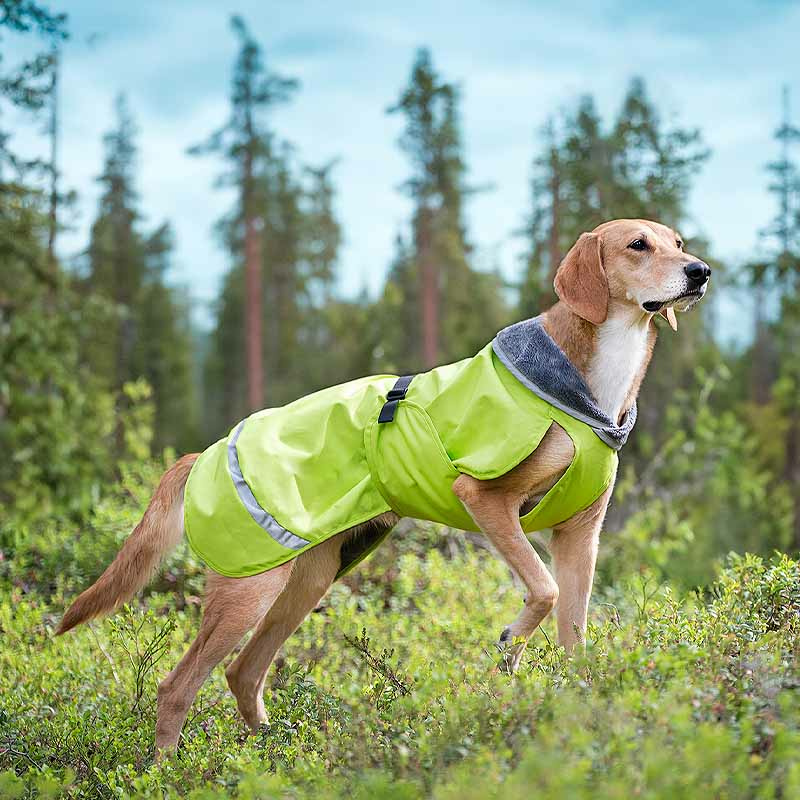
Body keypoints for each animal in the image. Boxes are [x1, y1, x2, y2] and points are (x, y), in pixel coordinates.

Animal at [56, 217, 708, 752]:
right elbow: (542, 593)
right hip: (248, 588)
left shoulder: (580, 537)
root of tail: (206, 452)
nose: (700, 271)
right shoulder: (488, 502)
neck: (590, 388)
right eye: (638, 245)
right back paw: (168, 771)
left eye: (678, 241)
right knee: (177, 685)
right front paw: (510, 643)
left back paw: (273, 756)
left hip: (310, 575)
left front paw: (576, 711)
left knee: (243, 672)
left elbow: (575, 635)